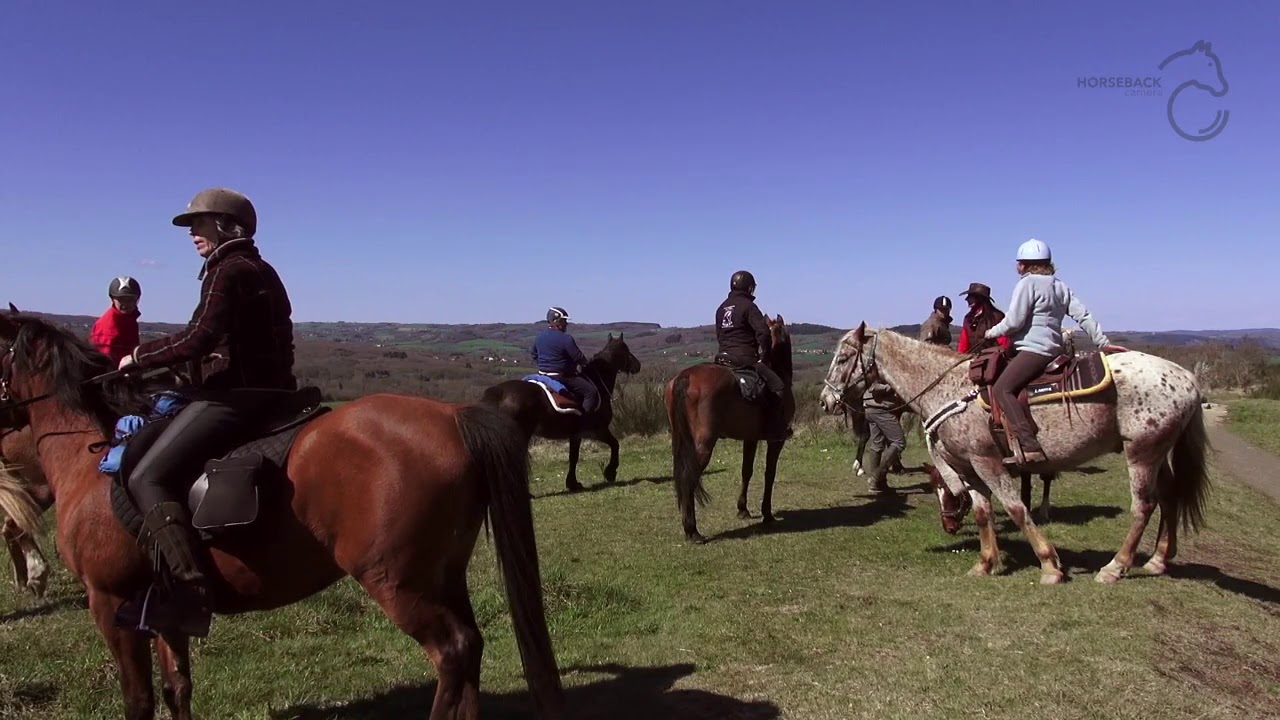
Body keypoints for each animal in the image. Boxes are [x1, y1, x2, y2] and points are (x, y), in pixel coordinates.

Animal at [0, 310, 564, 720]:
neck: (90, 456)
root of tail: (453, 417)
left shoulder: (111, 603)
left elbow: (138, 702)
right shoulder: (160, 609)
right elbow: (177, 687)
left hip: (399, 581)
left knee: (454, 651)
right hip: (442, 575)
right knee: (470, 655)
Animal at [481, 333, 641, 492]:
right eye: (625, 349)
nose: (638, 365)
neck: (597, 383)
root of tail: (498, 393)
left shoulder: (575, 435)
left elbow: (573, 457)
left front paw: (573, 483)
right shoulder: (598, 430)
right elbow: (615, 445)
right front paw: (610, 472)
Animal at [665, 315, 794, 543]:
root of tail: (685, 376)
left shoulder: (751, 438)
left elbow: (746, 470)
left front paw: (743, 509)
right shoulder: (776, 441)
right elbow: (769, 474)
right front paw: (767, 513)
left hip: (680, 443)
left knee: (681, 476)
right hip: (704, 445)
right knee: (689, 478)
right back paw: (692, 530)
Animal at [819, 323, 1210, 584]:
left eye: (843, 357)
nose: (825, 401)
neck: (950, 389)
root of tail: (1187, 378)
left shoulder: (987, 462)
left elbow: (1016, 508)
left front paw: (1050, 565)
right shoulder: (969, 466)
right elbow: (983, 513)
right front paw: (985, 563)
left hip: (1141, 453)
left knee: (1144, 506)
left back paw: (1115, 567)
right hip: (1158, 453)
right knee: (1170, 498)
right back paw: (1157, 560)